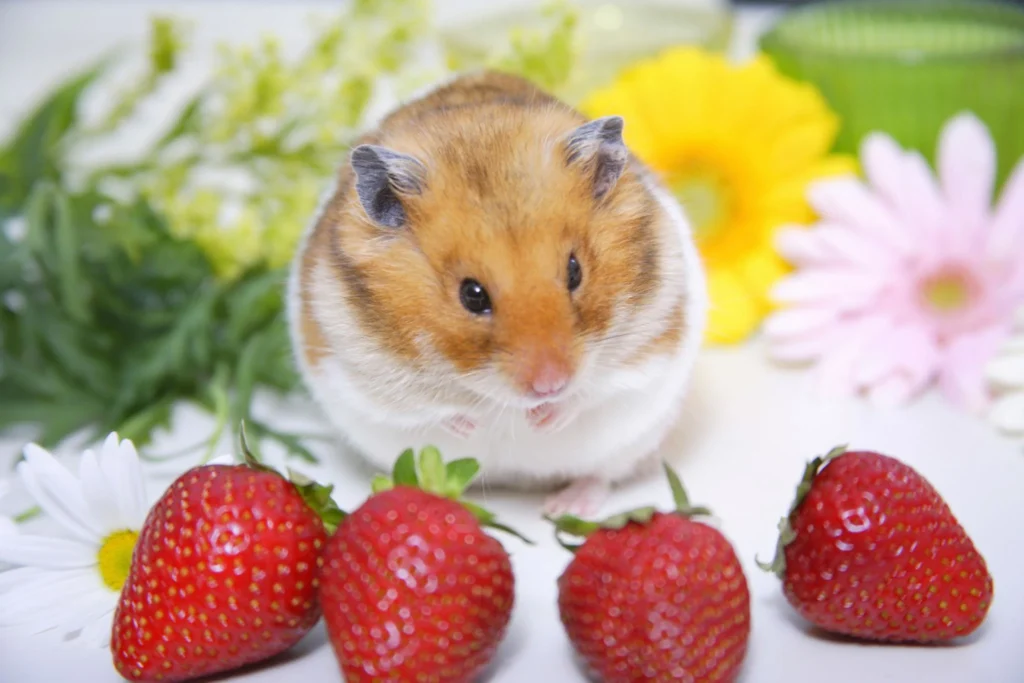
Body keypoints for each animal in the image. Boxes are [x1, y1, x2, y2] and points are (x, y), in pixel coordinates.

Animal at [287, 71, 707, 517]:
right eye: (472, 295)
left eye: (575, 271)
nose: (549, 385)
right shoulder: (358, 371)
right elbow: (430, 407)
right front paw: (480, 421)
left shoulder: (652, 350)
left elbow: (596, 388)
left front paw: (541, 419)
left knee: (599, 476)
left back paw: (563, 507)